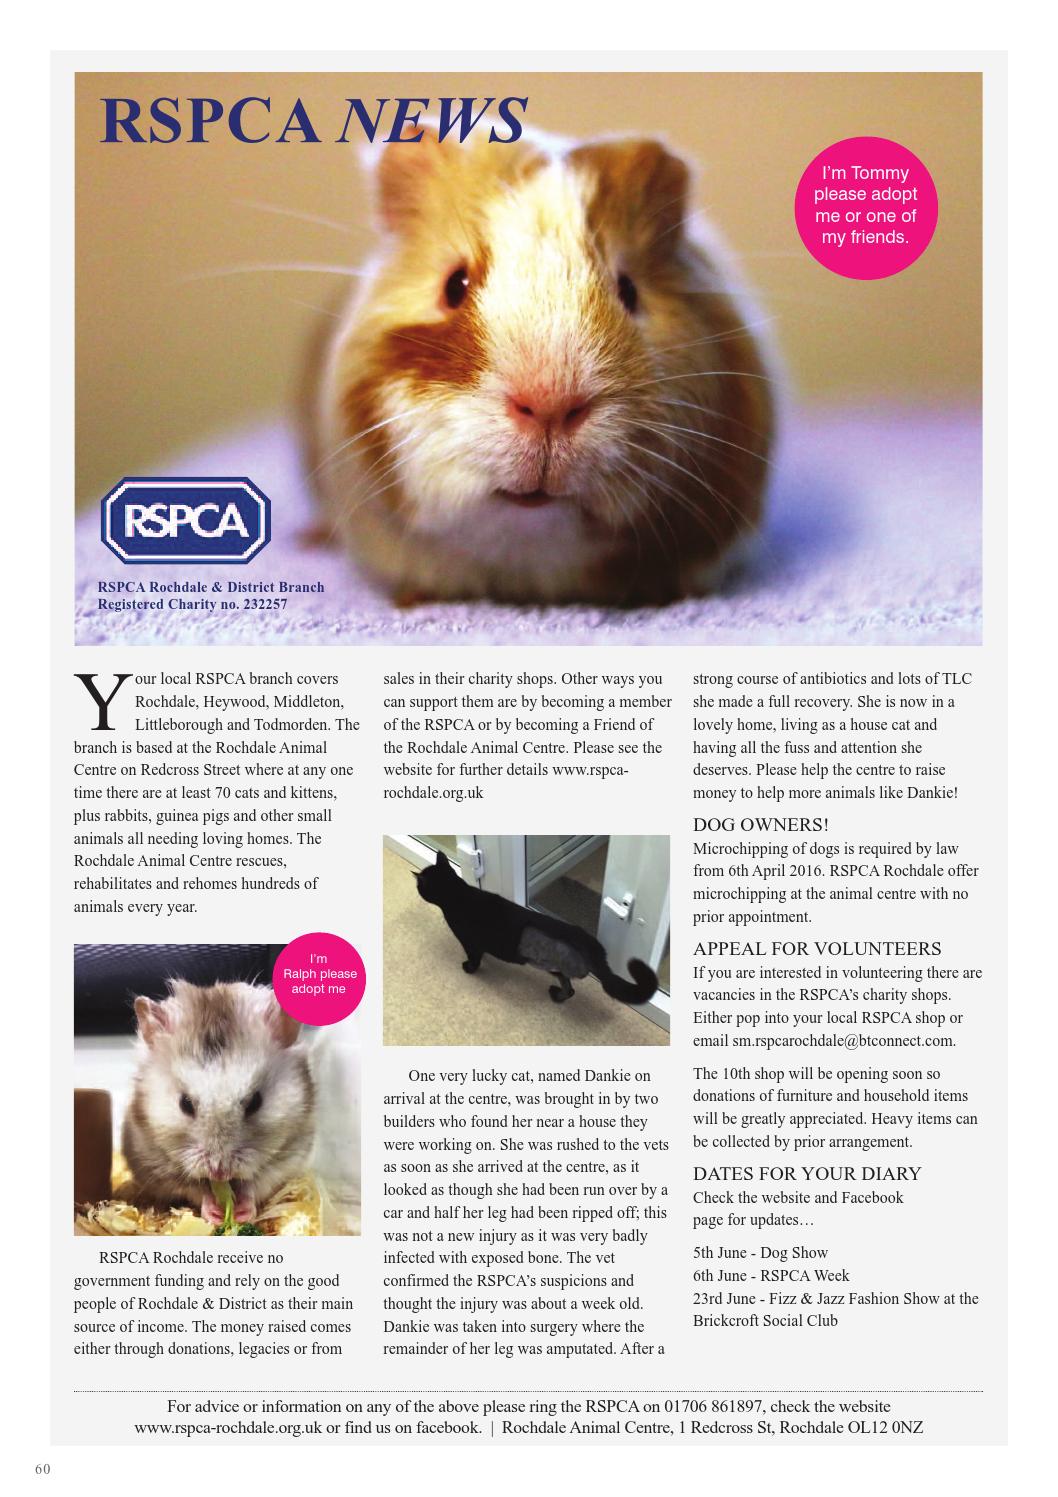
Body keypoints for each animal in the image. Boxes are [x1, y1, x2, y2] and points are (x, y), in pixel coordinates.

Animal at [121, 980, 315, 1225]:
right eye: (184, 1103)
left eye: (256, 1102)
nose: (219, 1172)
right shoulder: (159, 1167)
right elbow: (197, 1189)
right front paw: (215, 1215)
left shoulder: (285, 1159)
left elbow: (253, 1185)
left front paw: (242, 1215)